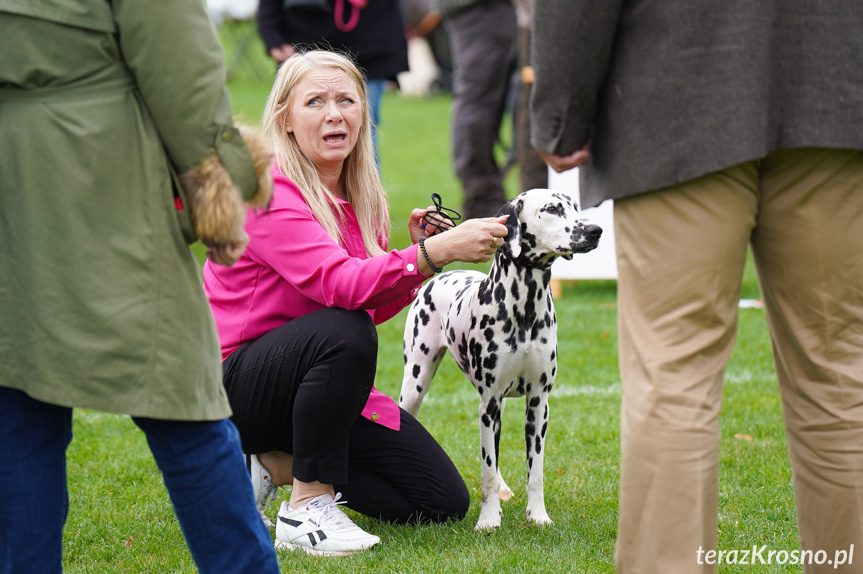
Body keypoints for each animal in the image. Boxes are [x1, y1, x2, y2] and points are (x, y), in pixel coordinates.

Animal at [398, 189, 600, 532]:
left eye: (575, 207)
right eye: (551, 209)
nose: (595, 230)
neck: (525, 310)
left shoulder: (538, 404)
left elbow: (535, 473)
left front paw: (539, 516)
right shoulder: (489, 404)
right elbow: (487, 471)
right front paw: (488, 519)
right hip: (416, 382)